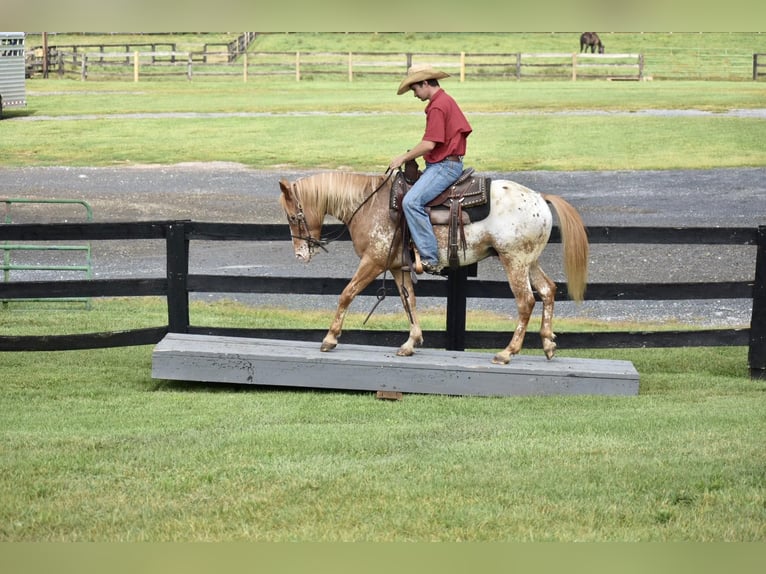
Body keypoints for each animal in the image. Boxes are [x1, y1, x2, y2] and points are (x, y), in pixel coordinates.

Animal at [280, 171, 592, 366]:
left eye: (293, 216)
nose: (300, 254)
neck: (368, 205)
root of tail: (540, 197)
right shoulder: (397, 267)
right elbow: (409, 301)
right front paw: (411, 342)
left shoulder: (373, 261)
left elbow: (346, 294)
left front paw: (329, 339)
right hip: (529, 261)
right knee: (548, 291)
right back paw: (548, 344)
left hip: (513, 261)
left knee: (526, 301)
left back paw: (507, 353)